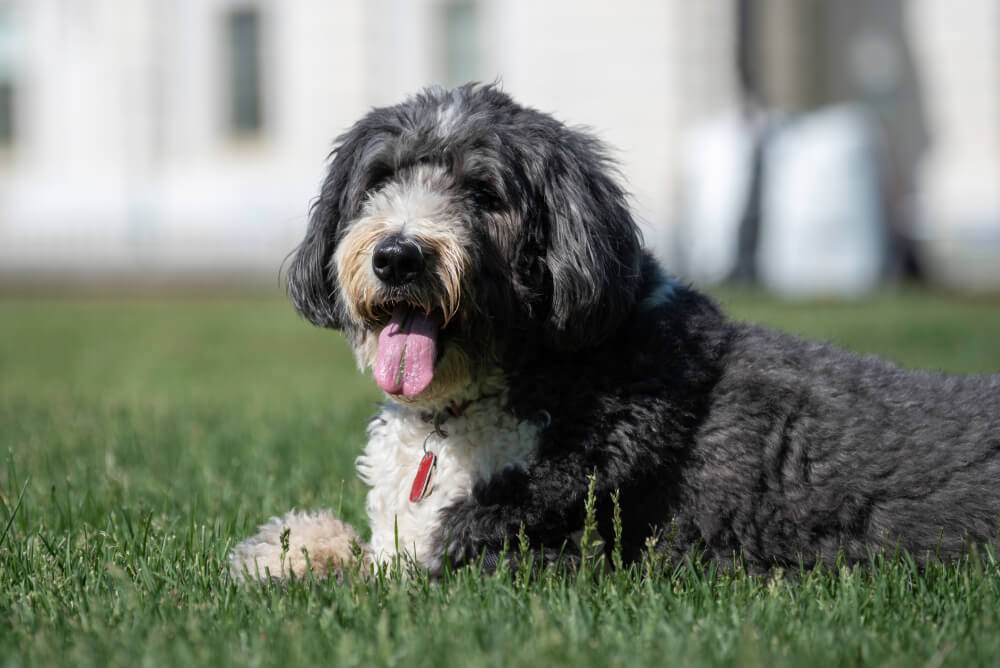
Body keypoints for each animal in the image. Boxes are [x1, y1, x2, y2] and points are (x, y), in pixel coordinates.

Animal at [230, 85, 1000, 580]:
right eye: (379, 179)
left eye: (483, 192)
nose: (397, 255)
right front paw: (284, 550)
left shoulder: (526, 559)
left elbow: (383, 578)